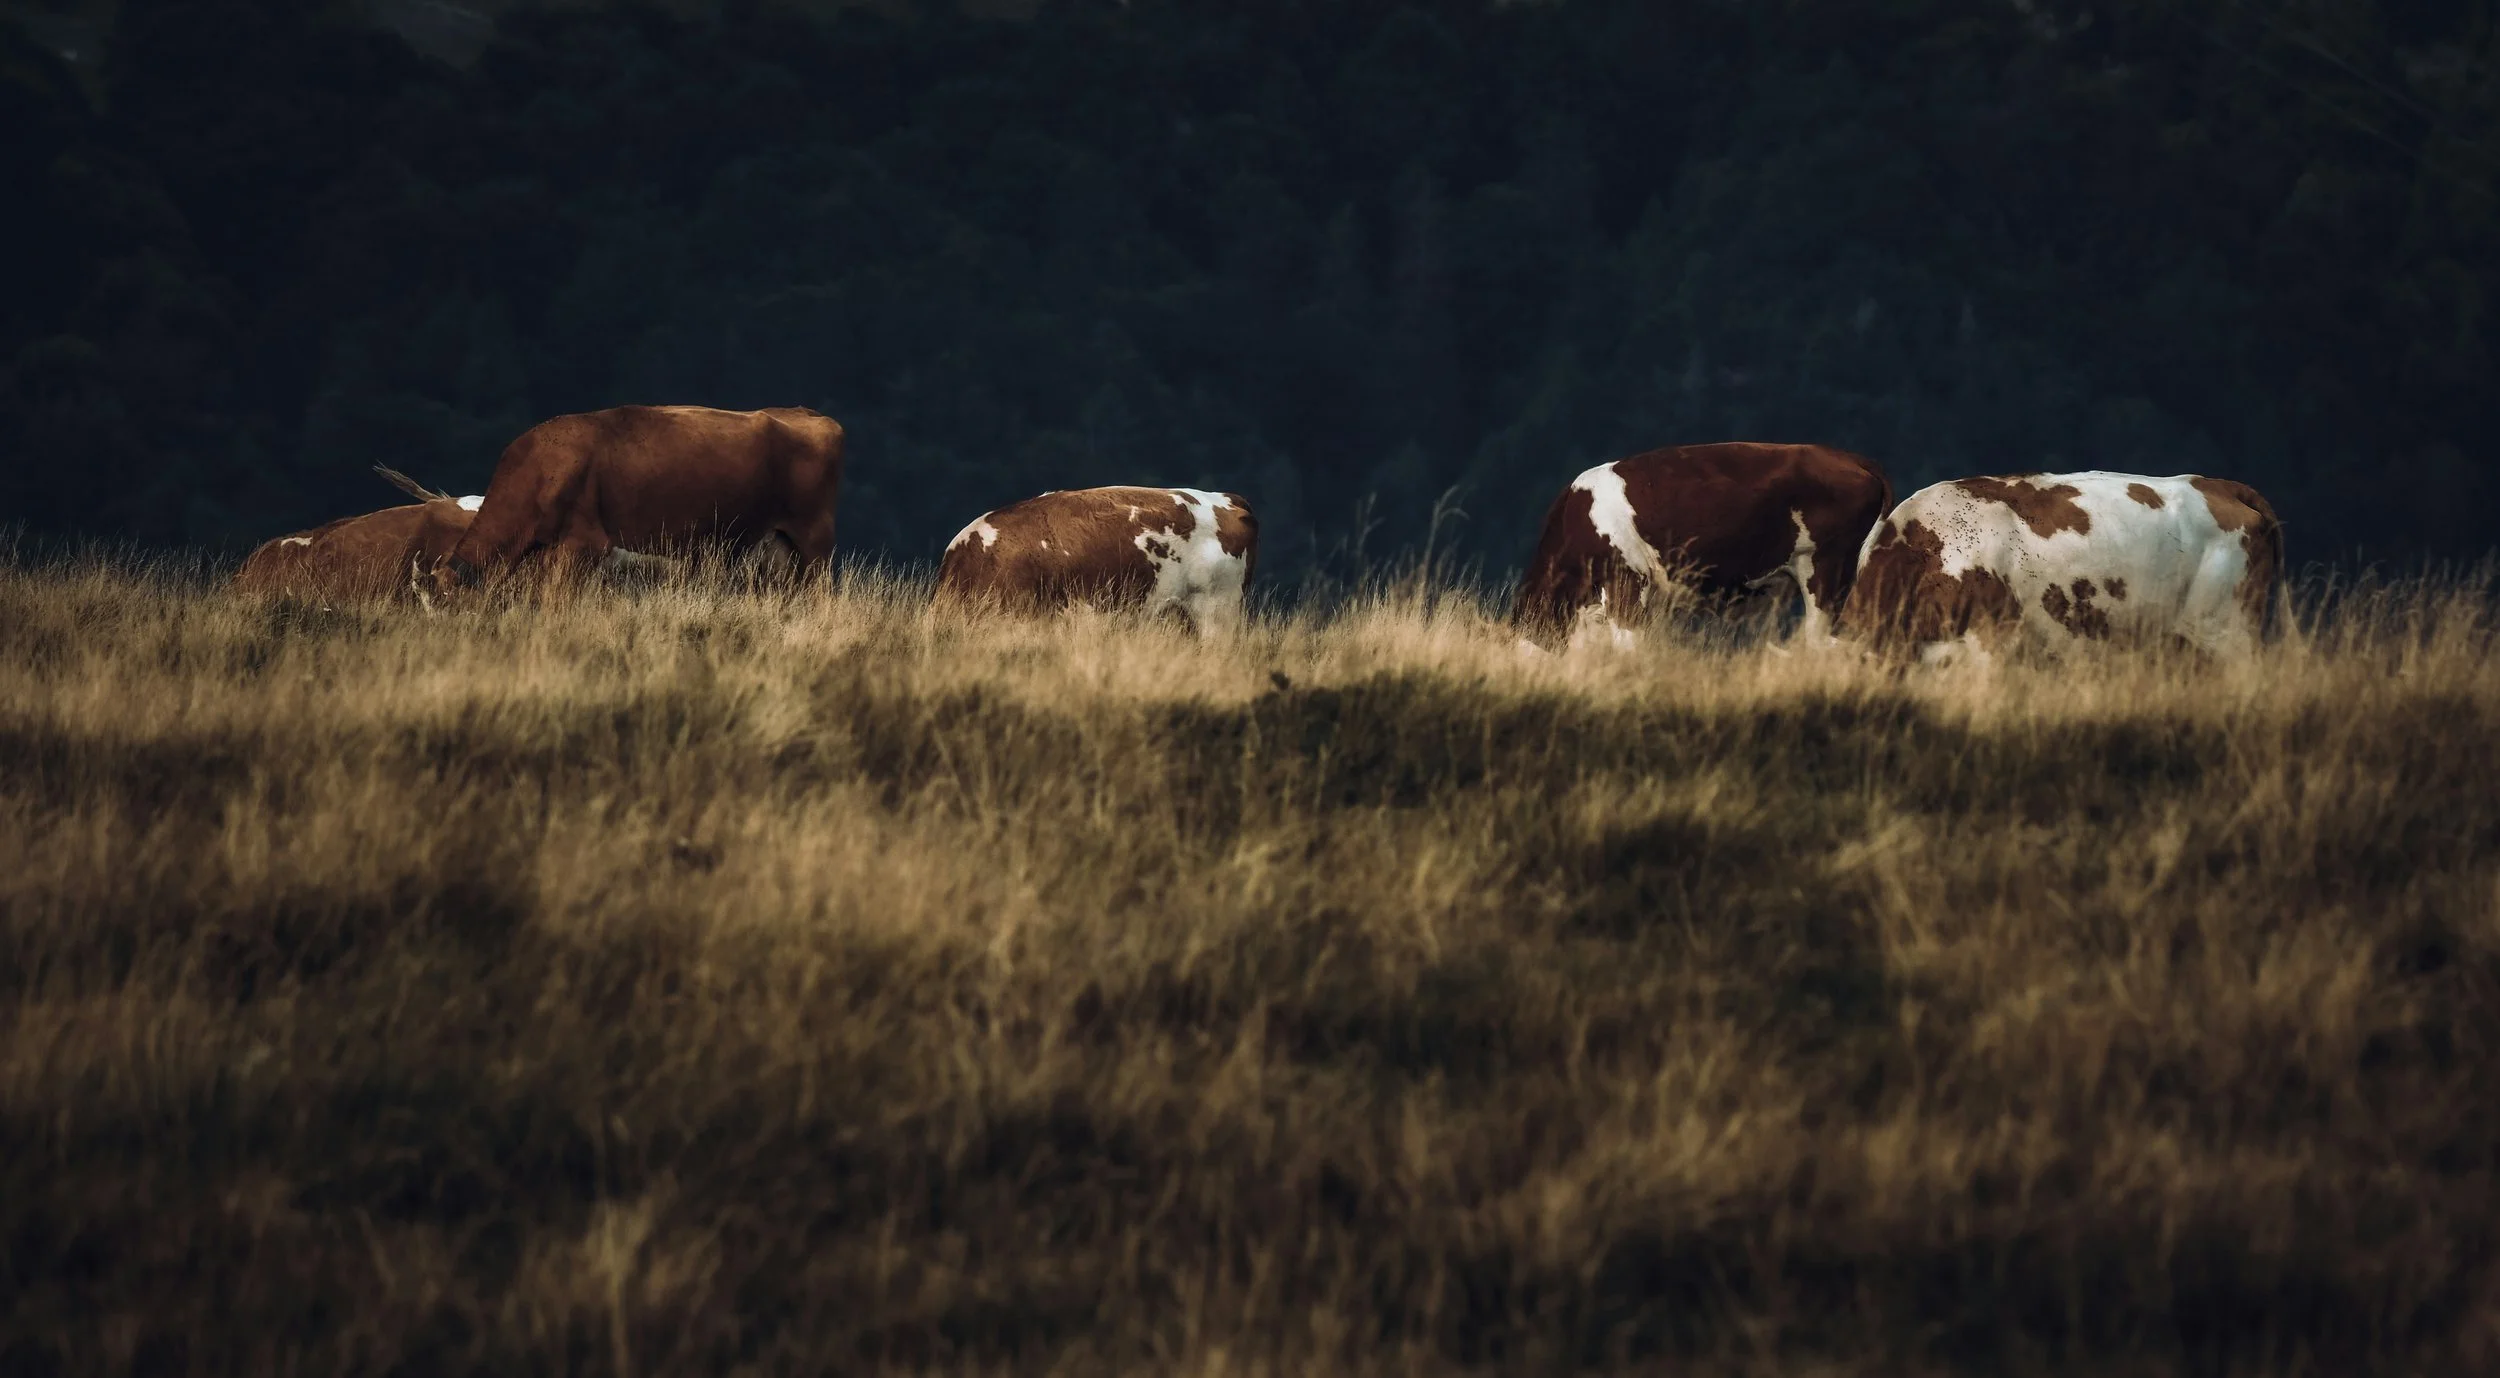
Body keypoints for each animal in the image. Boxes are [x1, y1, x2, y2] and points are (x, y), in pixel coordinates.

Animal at [419, 404, 844, 603]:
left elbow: (557, 598)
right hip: (780, 547)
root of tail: (808, 414)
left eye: (448, 604)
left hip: (814, 540)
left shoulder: (584, 544)